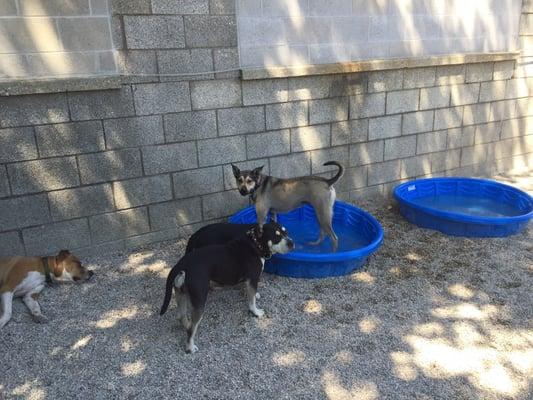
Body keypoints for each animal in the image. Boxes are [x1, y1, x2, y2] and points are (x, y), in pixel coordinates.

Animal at [162, 222, 296, 354]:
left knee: (182, 317)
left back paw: (186, 326)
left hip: (180, 292)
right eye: (276, 236)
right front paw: (256, 312)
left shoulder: (248, 280)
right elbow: (252, 300)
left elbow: (250, 292)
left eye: (286, 232)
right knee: (191, 328)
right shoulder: (253, 278)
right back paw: (190, 347)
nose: (292, 243)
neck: (255, 244)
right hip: (199, 299)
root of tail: (182, 264)